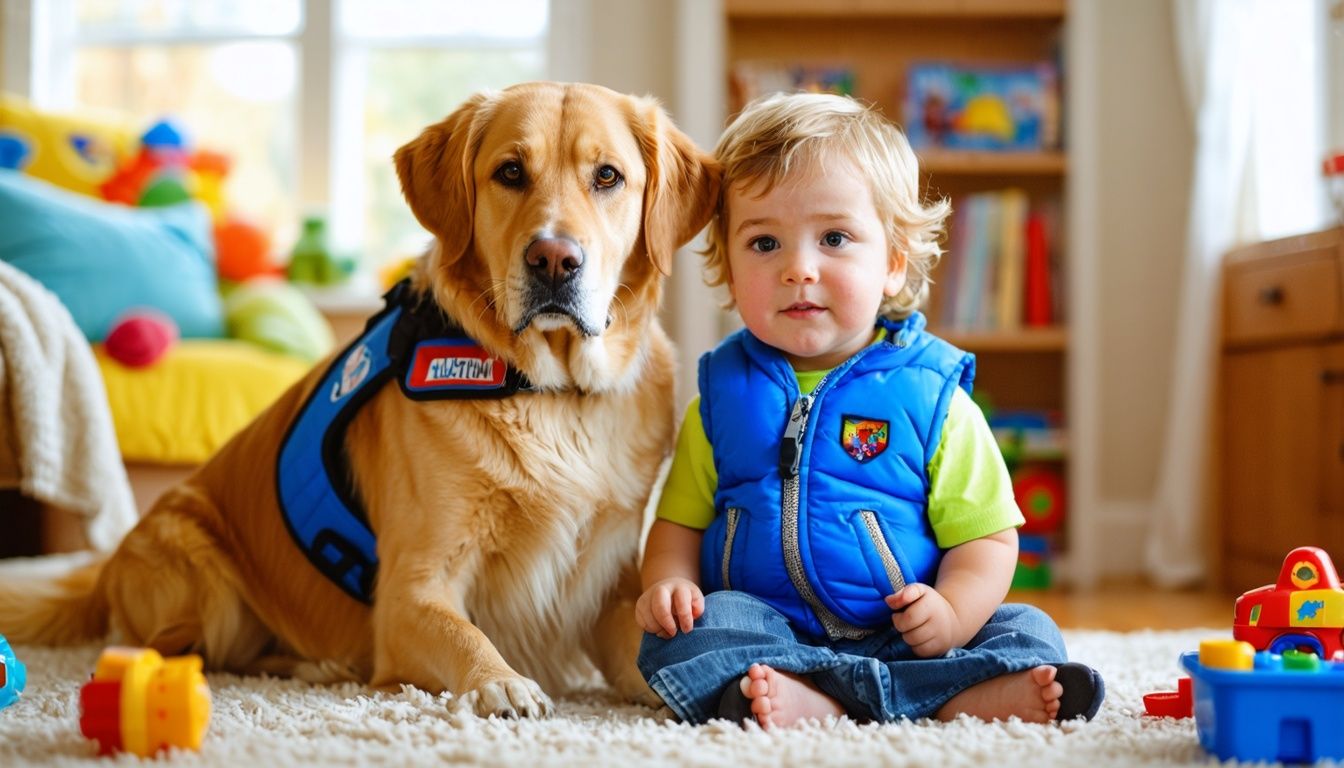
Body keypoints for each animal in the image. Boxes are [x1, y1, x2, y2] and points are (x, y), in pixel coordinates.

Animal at [0, 81, 720, 720]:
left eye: (608, 177)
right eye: (510, 172)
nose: (554, 260)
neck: (550, 390)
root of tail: (104, 574)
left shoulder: (606, 588)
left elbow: (651, 651)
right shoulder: (410, 592)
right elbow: (466, 632)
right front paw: (501, 682)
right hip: (201, 574)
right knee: (190, 651)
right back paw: (317, 664)